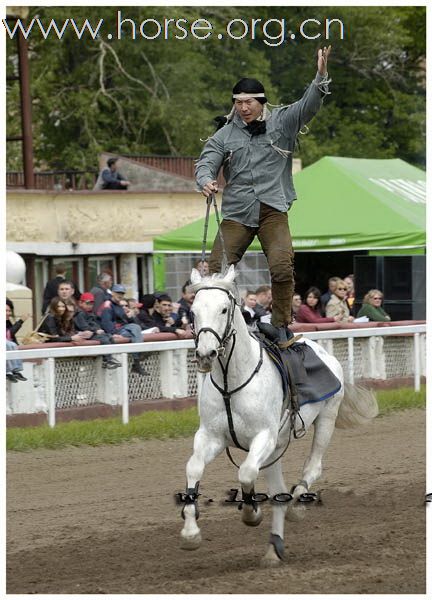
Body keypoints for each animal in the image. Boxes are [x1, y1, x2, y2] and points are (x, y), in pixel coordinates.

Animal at [181, 268, 376, 568]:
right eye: (193, 311)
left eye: (224, 309)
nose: (205, 354)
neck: (231, 381)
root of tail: (324, 353)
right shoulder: (210, 436)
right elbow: (193, 468)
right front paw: (191, 533)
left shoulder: (265, 437)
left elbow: (246, 472)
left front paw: (252, 514)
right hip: (276, 450)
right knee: (279, 490)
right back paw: (274, 547)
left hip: (325, 420)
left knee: (311, 468)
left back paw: (296, 508)